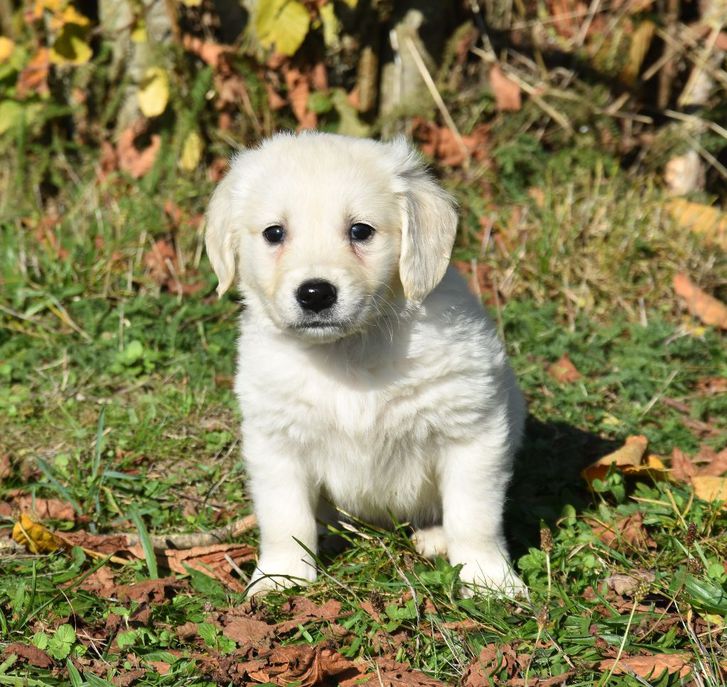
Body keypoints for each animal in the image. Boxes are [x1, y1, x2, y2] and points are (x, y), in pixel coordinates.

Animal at [208, 132, 528, 600]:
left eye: (360, 231)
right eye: (274, 233)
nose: (315, 294)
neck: (347, 351)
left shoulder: (472, 431)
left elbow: (474, 518)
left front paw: (490, 581)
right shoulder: (277, 442)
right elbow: (285, 519)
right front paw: (280, 578)